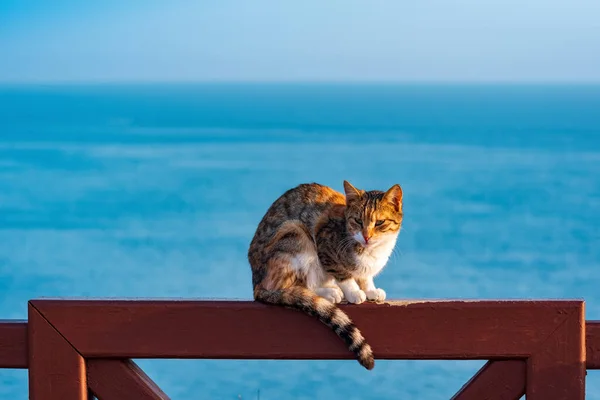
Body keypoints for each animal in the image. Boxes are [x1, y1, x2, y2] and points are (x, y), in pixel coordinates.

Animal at [248, 180, 404, 368]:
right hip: (295, 233)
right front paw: (354, 292)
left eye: (380, 222)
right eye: (358, 221)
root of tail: (256, 285)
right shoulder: (324, 245)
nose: (366, 237)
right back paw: (330, 292)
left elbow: (365, 277)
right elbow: (343, 274)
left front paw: (370, 290)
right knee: (292, 285)